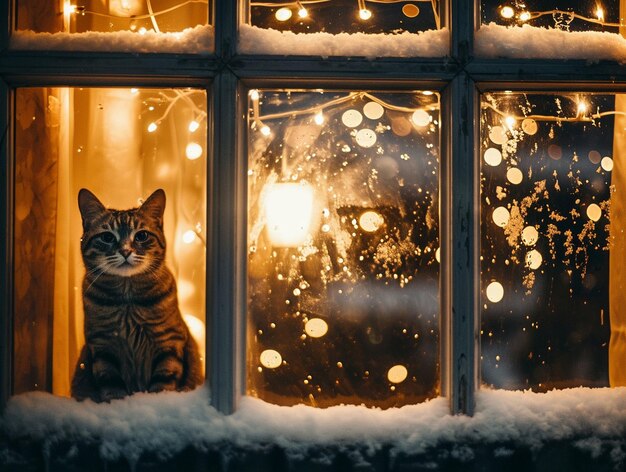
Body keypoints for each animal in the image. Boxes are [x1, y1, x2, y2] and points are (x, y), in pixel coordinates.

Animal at [70, 188, 202, 402]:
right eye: (107, 237)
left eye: (141, 236)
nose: (125, 251)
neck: (128, 301)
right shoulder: (102, 346)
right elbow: (112, 386)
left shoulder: (168, 342)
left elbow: (163, 382)